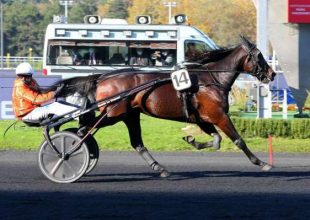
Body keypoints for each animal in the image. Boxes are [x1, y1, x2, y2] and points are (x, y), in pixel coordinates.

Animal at [54, 36, 276, 177]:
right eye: (259, 56)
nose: (272, 74)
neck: (211, 79)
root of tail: (102, 77)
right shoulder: (219, 115)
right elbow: (238, 140)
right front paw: (262, 163)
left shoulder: (202, 118)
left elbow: (216, 140)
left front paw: (192, 140)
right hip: (113, 113)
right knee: (84, 130)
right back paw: (67, 150)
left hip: (129, 115)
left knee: (136, 143)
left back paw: (159, 168)